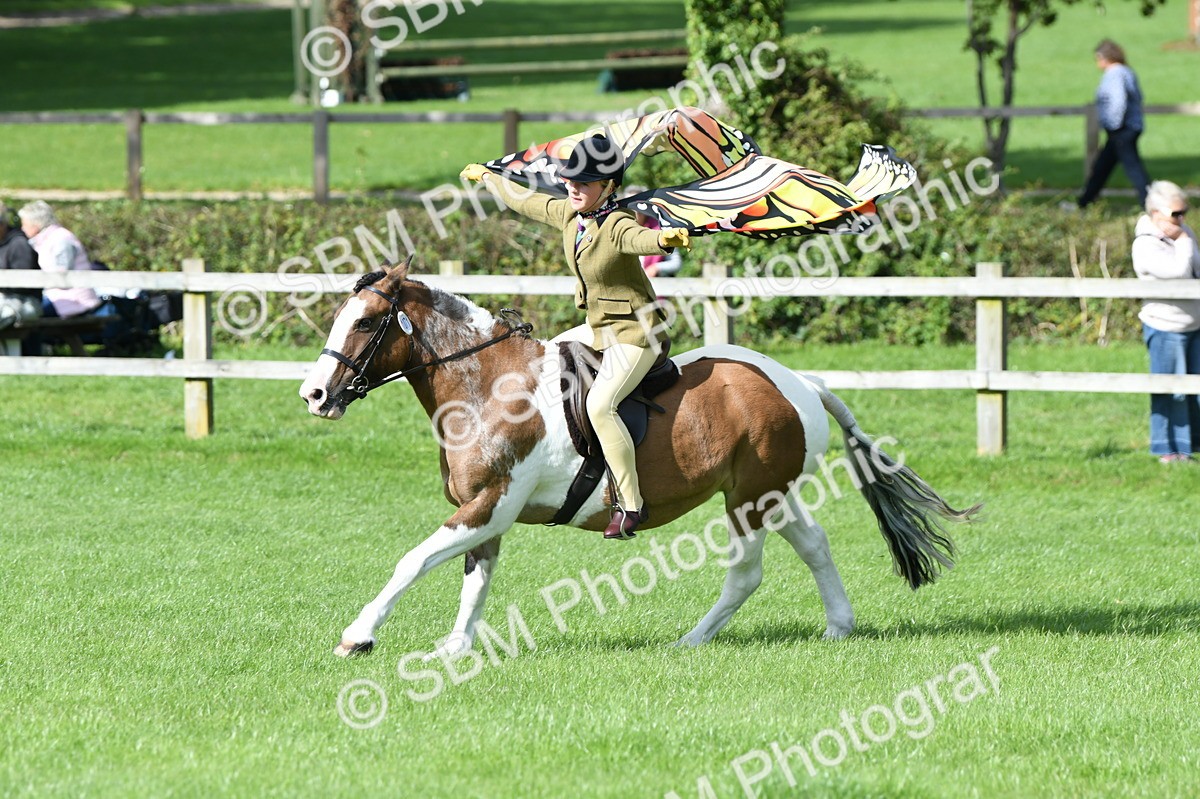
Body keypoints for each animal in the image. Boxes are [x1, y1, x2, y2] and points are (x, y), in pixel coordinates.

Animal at [299, 260, 979, 658]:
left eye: (365, 322)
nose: (315, 395)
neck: (488, 386)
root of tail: (799, 383)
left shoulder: (492, 503)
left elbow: (413, 561)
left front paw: (359, 635)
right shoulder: (484, 512)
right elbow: (475, 581)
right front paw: (455, 650)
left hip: (748, 501)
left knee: (746, 574)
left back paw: (690, 642)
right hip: (770, 494)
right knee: (814, 546)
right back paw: (838, 626)